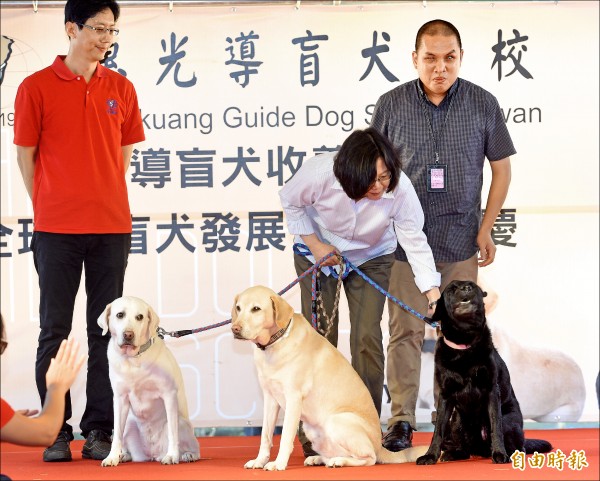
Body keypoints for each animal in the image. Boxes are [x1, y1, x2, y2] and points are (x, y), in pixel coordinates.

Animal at [97, 294, 200, 466]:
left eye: (140, 317)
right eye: (120, 315)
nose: (128, 335)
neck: (133, 359)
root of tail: (152, 454)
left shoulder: (169, 394)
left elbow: (173, 433)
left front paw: (172, 456)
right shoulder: (120, 398)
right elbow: (116, 434)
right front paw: (112, 457)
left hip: (183, 422)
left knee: (193, 446)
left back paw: (186, 455)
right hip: (130, 424)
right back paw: (124, 455)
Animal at [231, 284, 426, 468]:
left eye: (256, 309)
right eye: (239, 308)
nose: (235, 328)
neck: (276, 341)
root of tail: (379, 445)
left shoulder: (293, 398)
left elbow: (285, 436)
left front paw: (278, 464)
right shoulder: (270, 398)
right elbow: (265, 436)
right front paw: (259, 461)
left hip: (336, 421)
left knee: (369, 458)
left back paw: (339, 461)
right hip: (312, 429)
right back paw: (319, 458)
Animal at [418, 280, 552, 464]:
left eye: (472, 286)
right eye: (452, 289)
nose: (466, 288)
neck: (464, 345)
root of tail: (480, 449)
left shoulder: (491, 391)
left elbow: (495, 426)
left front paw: (500, 454)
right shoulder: (445, 396)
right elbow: (438, 430)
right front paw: (430, 455)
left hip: (509, 420)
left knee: (520, 447)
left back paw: (508, 453)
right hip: (457, 421)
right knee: (465, 449)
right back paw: (453, 453)